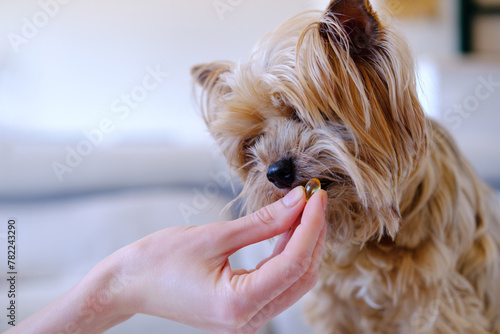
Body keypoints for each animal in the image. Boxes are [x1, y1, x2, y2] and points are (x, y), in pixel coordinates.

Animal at [191, 0, 500, 332]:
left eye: (302, 114)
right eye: (253, 141)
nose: (275, 173)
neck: (371, 233)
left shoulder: (442, 304)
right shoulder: (333, 305)